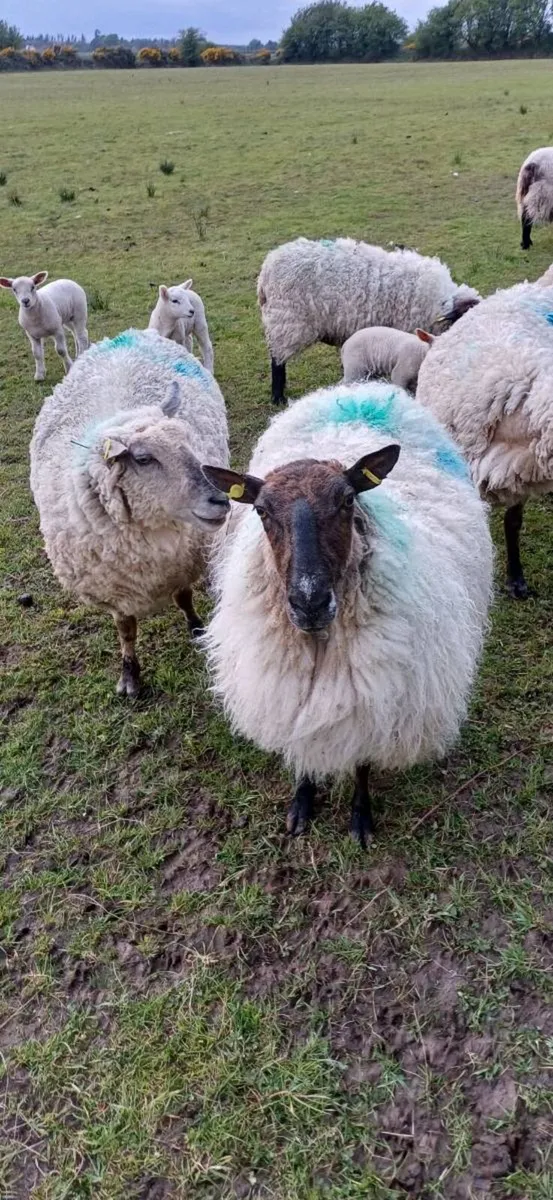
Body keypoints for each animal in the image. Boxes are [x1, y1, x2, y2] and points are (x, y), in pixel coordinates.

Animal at [30, 329, 230, 696]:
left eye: (188, 442)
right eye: (143, 459)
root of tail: (130, 334)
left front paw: (196, 628)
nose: (220, 501)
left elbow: (184, 597)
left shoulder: (182, 562)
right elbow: (126, 630)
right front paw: (129, 675)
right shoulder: (112, 589)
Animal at [200, 380, 493, 848]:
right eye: (261, 511)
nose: (310, 601)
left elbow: (362, 763)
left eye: (347, 501)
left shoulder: (373, 699)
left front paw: (360, 817)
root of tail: (363, 391)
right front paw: (301, 804)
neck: (319, 644)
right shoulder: (289, 692)